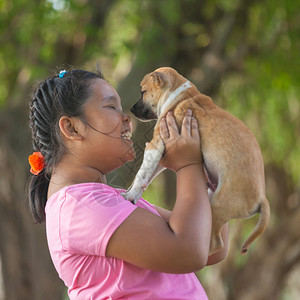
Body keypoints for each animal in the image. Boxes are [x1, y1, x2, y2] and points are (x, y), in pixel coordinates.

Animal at [122, 67, 270, 254]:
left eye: (143, 92)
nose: (131, 110)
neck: (180, 95)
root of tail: (262, 198)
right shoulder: (160, 155)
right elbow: (144, 177)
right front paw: (133, 195)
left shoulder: (155, 146)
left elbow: (141, 175)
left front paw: (129, 195)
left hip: (217, 206)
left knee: (215, 244)